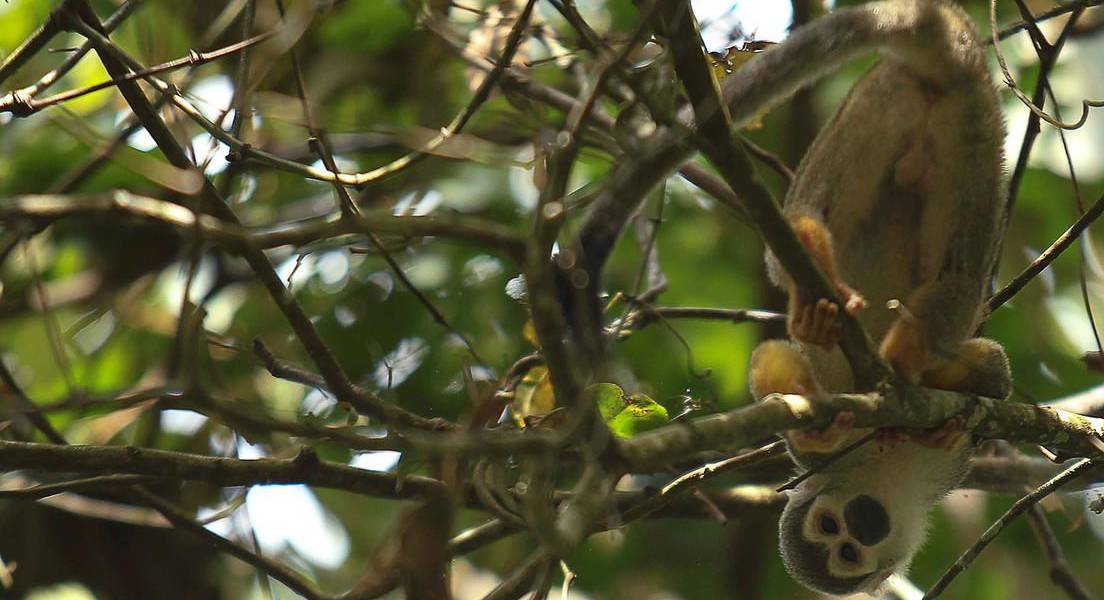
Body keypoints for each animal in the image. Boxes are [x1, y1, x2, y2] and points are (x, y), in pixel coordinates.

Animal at [737, 0, 1011, 596]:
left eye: (845, 548)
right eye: (831, 532)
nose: (855, 528)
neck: (887, 476)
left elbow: (996, 379)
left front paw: (945, 421)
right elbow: (779, 370)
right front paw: (819, 426)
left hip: (944, 121)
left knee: (958, 270)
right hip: (911, 108)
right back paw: (815, 262)